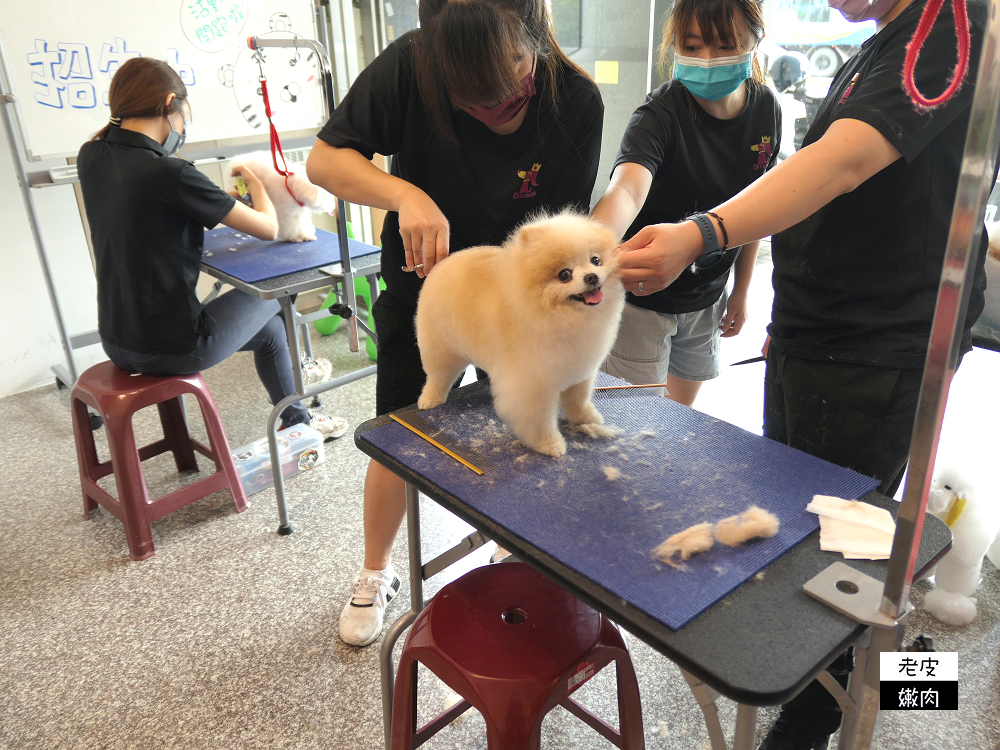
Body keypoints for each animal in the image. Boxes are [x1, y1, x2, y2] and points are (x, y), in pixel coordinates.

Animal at [410, 210, 620, 458]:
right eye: (564, 275)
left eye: (595, 260)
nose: (591, 277)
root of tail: (444, 262)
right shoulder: (532, 385)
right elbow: (538, 420)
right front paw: (549, 444)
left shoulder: (580, 371)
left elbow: (578, 400)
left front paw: (586, 419)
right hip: (442, 348)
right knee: (438, 376)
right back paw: (429, 399)